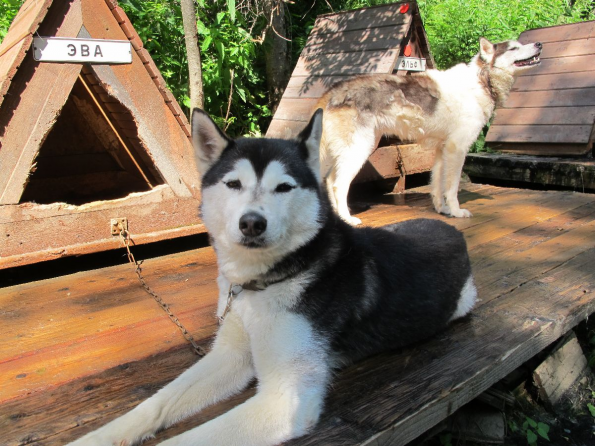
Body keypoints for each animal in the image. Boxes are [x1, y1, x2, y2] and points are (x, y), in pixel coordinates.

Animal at [70, 109, 478, 446]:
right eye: (233, 184)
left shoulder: (286, 400)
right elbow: (154, 405)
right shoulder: (230, 355)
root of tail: (451, 232)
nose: (252, 223)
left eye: (284, 187)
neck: (260, 284)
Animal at [318, 36, 544, 225]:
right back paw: (347, 218)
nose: (539, 44)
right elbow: (451, 188)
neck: (481, 80)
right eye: (514, 48)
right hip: (359, 150)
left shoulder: (442, 151)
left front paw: (442, 209)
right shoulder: (457, 150)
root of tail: (335, 90)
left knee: (329, 180)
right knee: (338, 185)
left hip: (352, 150)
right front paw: (456, 211)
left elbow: (437, 185)